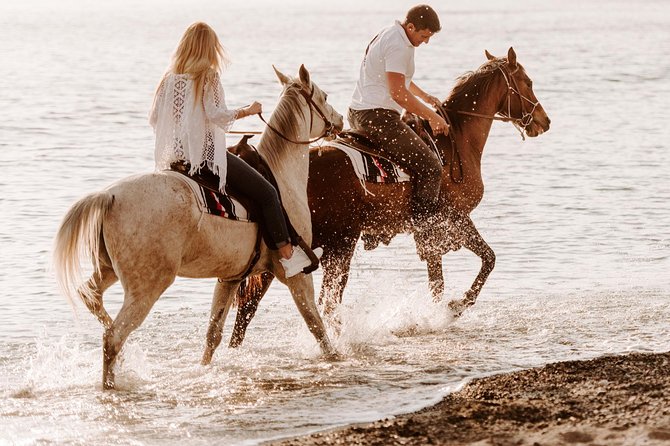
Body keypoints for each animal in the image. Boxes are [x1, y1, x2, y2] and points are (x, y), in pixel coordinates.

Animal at [53, 65, 344, 390]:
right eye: (324, 96)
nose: (339, 121)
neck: (280, 178)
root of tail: (109, 196)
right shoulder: (294, 274)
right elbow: (315, 323)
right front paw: (335, 358)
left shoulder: (230, 277)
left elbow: (213, 334)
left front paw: (204, 368)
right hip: (147, 286)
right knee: (113, 336)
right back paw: (111, 383)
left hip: (108, 269)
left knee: (91, 298)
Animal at [228, 48, 550, 347]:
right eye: (528, 81)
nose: (544, 121)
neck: (455, 142)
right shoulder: (454, 219)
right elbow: (488, 260)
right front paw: (455, 307)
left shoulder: (431, 236)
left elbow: (439, 282)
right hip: (337, 244)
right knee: (320, 304)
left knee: (251, 306)